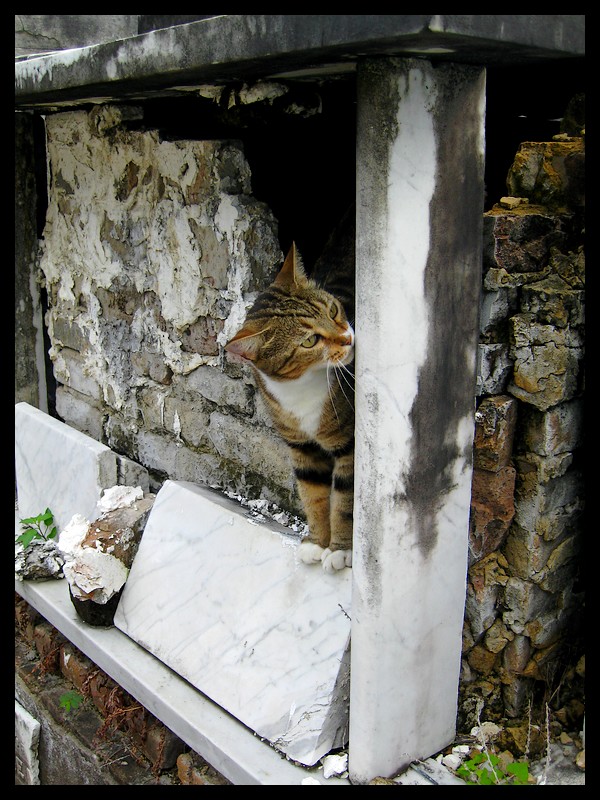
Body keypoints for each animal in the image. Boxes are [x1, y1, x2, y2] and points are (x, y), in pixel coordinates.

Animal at [227, 228, 354, 572]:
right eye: (310, 340)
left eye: (333, 310)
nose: (348, 339)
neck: (304, 386)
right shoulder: (301, 446)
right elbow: (313, 494)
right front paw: (316, 542)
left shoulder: (349, 443)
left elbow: (345, 500)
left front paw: (340, 549)